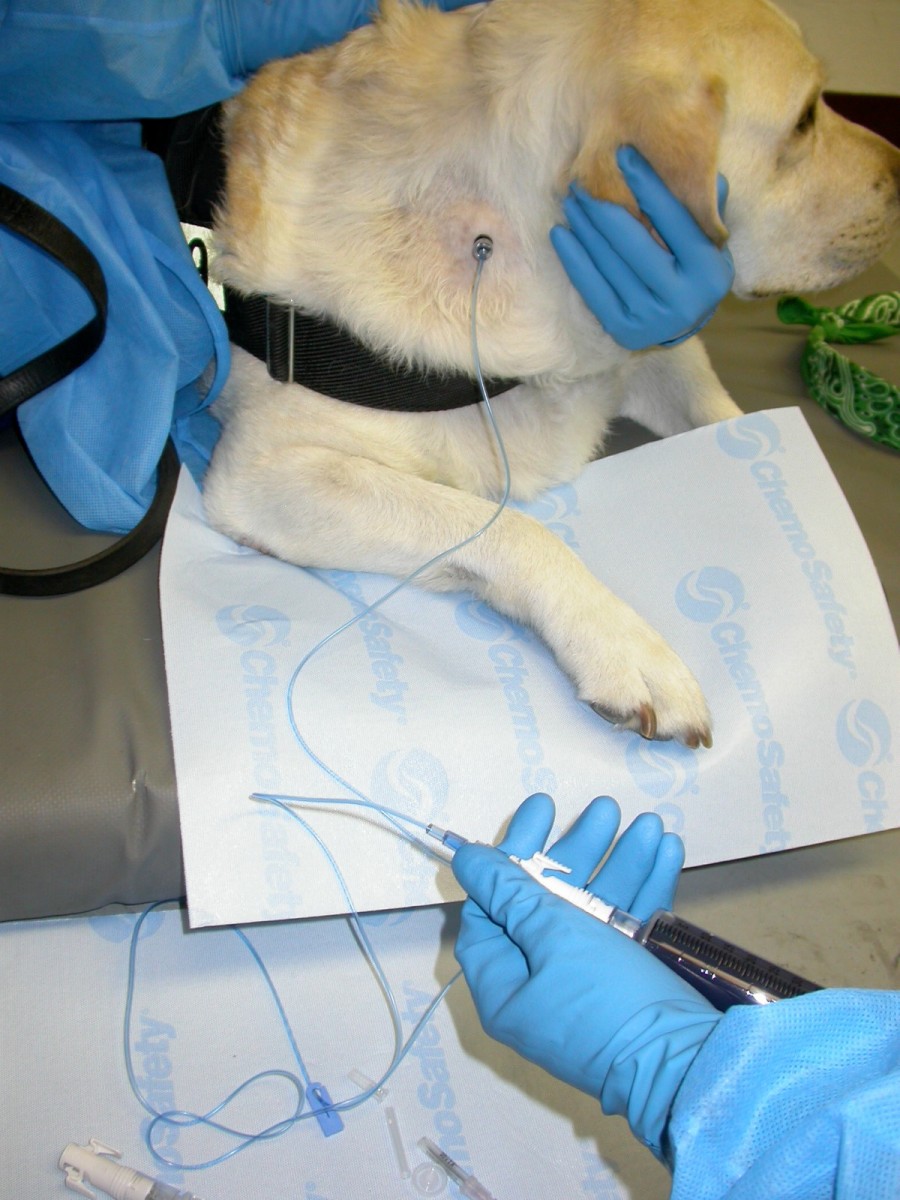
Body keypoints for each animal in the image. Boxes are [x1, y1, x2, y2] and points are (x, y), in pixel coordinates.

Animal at [204, 2, 900, 748]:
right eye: (804, 118)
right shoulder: (265, 470)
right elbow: (510, 527)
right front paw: (623, 644)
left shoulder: (646, 343)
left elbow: (721, 412)